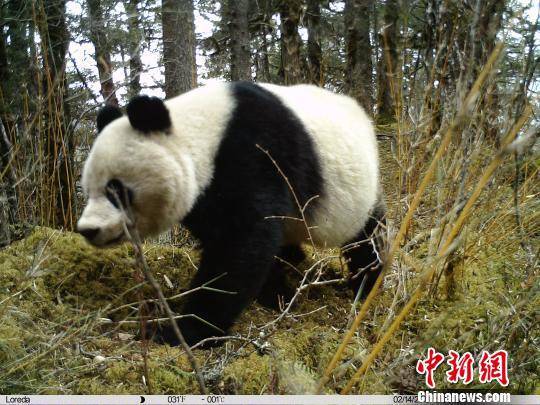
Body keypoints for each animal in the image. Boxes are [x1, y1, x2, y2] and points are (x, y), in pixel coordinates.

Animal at [78, 80, 386, 346]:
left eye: (115, 189)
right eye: (88, 188)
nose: (88, 230)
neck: (204, 133)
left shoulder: (256, 155)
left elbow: (240, 245)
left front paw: (183, 331)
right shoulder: (205, 196)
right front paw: (276, 294)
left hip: (357, 192)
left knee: (367, 238)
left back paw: (366, 283)